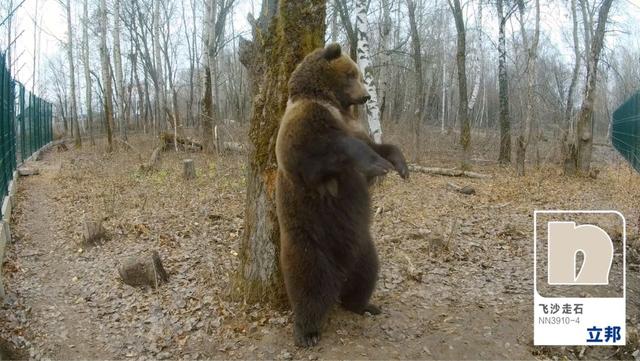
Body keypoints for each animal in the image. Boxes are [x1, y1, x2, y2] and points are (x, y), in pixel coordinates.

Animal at [276, 43, 410, 346]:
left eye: (359, 75)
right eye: (351, 74)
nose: (366, 95)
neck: (334, 104)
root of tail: (339, 265)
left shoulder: (356, 127)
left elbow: (378, 145)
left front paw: (400, 164)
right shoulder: (306, 127)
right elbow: (321, 149)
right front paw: (377, 164)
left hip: (363, 246)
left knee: (366, 274)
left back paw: (364, 305)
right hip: (310, 241)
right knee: (309, 285)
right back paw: (308, 331)